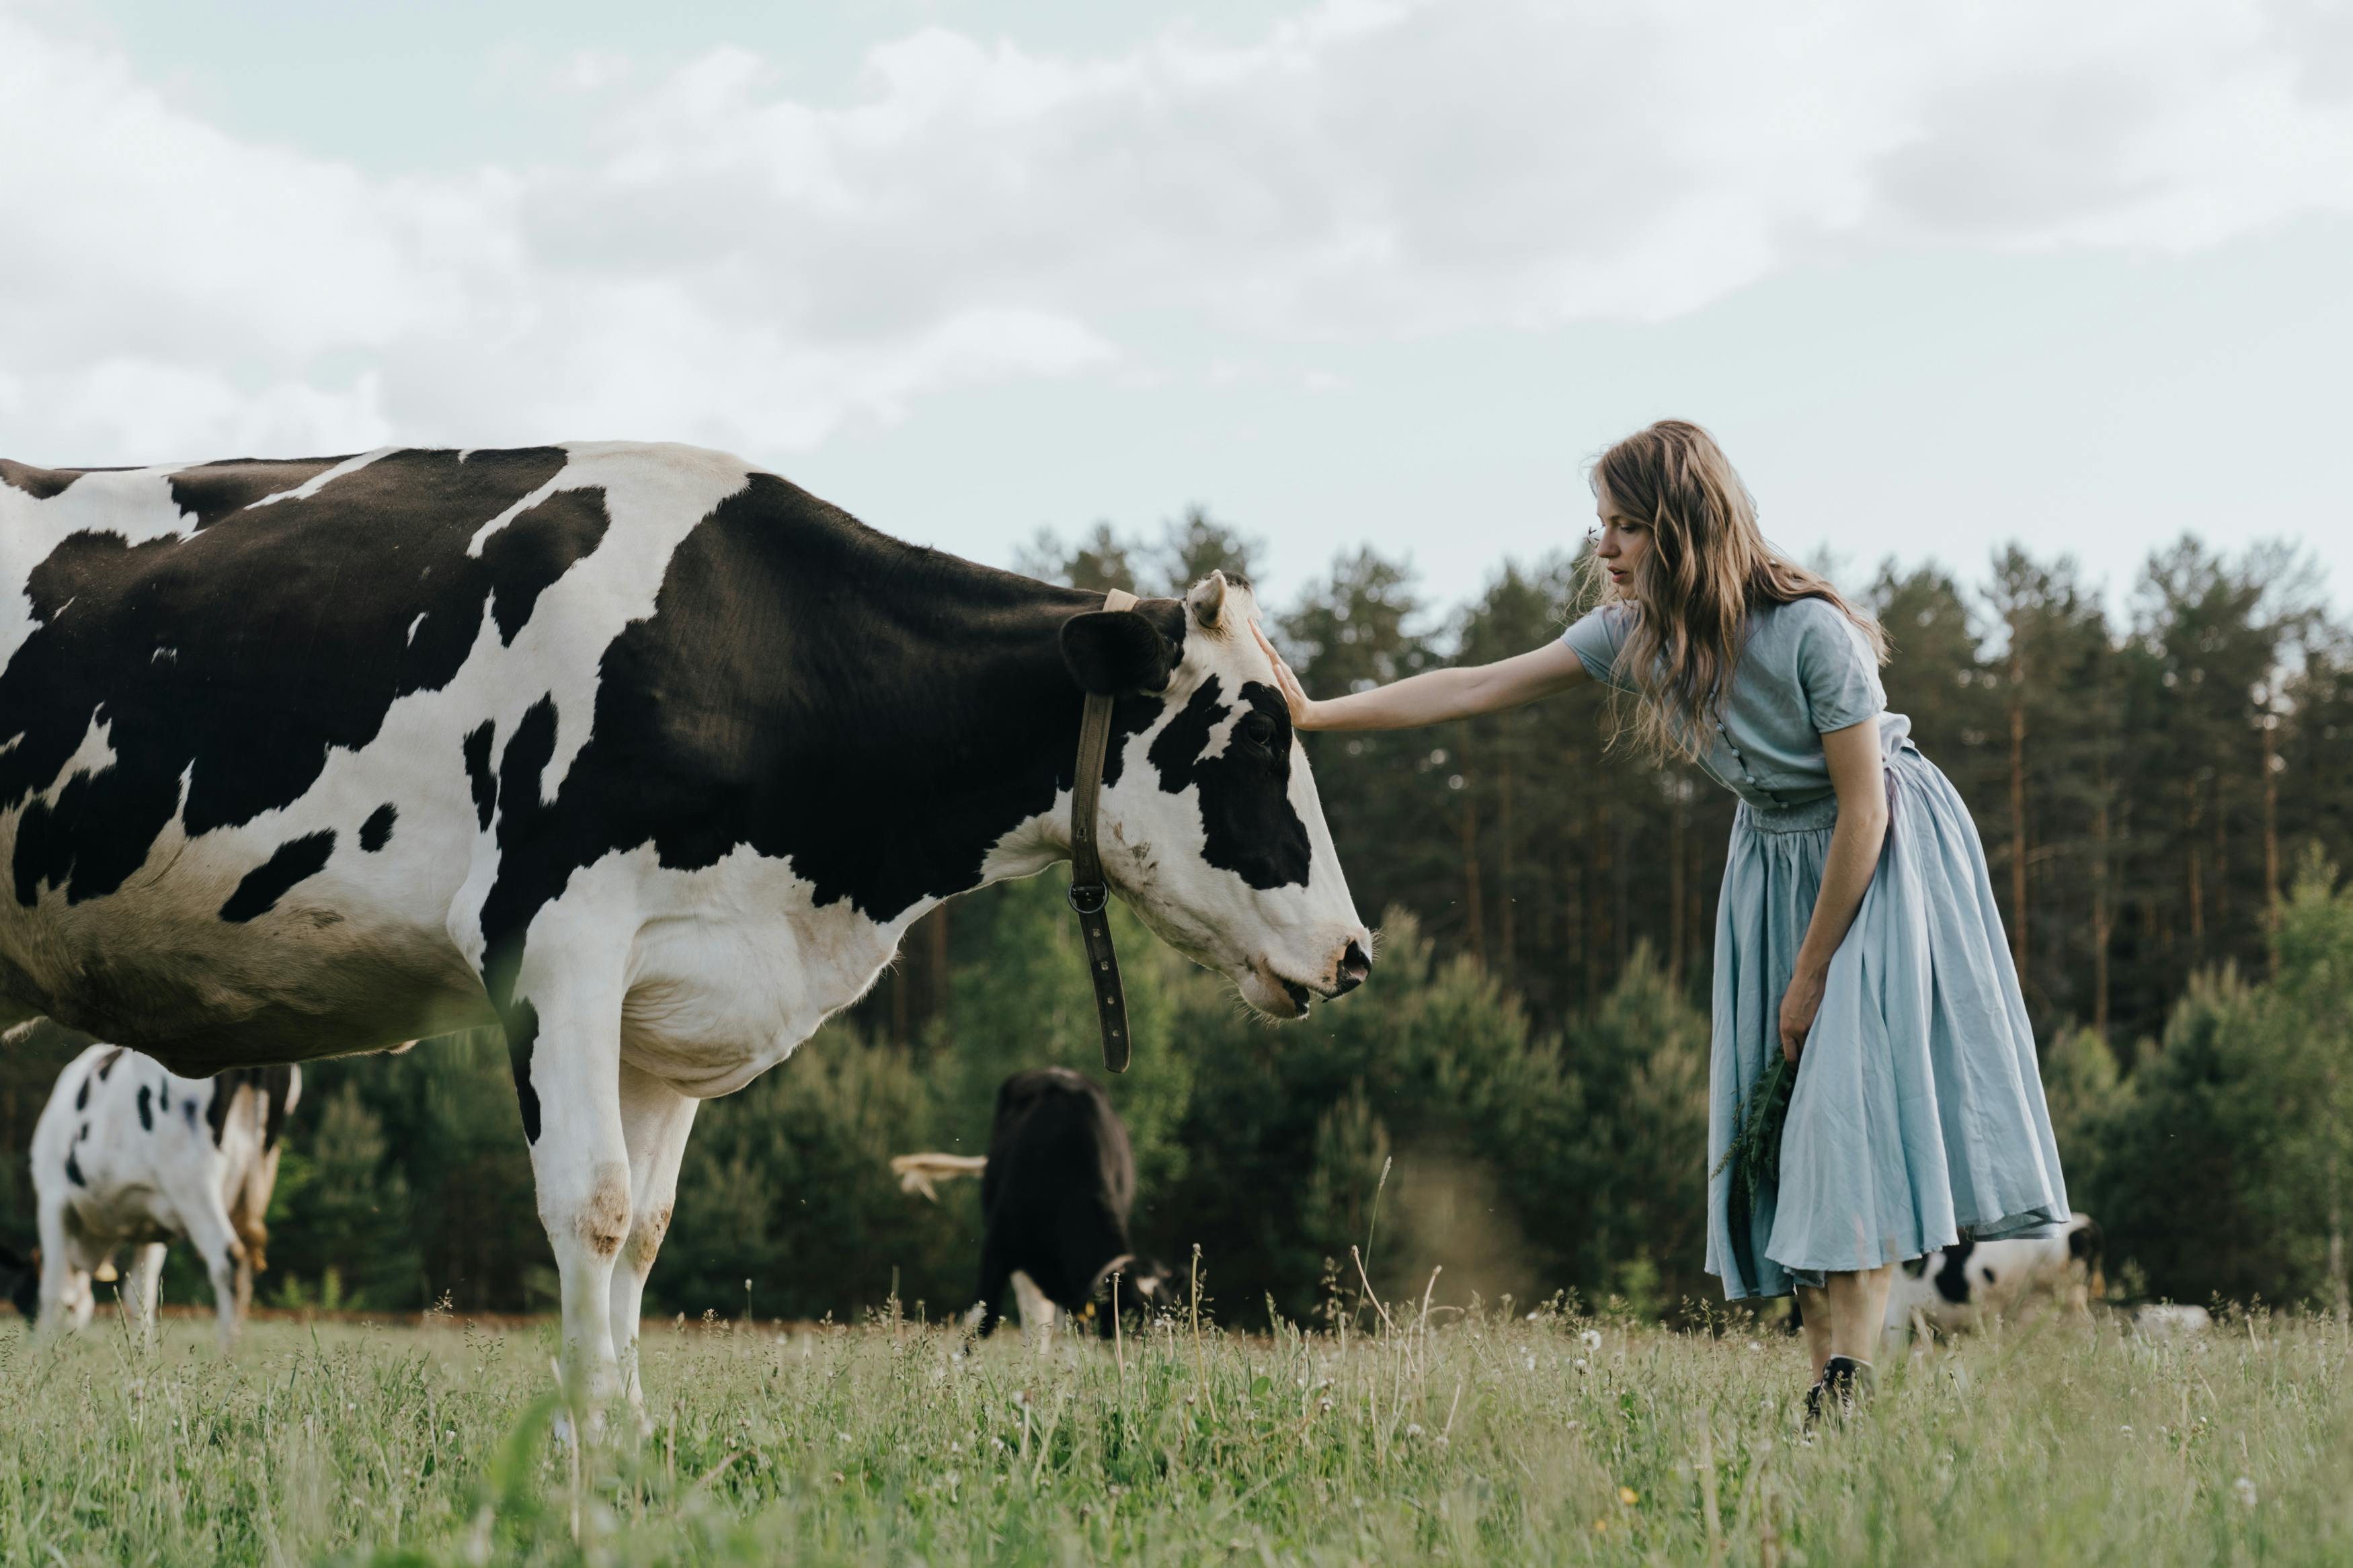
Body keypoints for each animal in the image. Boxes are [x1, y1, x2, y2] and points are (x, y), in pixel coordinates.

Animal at [22, 1044, 298, 1354]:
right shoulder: (150, 1223)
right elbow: (141, 1297)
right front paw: (145, 1357)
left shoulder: (52, 1201)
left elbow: (52, 1292)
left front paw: (40, 1354)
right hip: (259, 1176)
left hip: (191, 1179)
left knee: (230, 1260)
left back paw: (226, 1357)